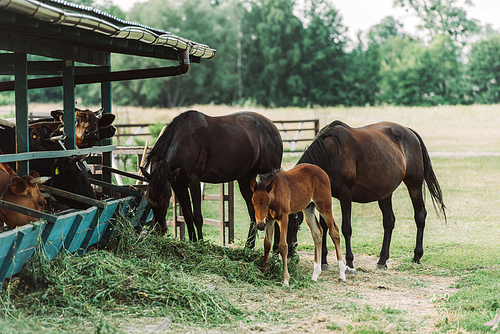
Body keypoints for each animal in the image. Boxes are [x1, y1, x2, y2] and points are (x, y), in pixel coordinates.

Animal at [142, 109, 282, 243]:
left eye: (167, 197)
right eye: (149, 198)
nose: (161, 229)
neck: (184, 142)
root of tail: (273, 127)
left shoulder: (194, 181)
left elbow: (197, 217)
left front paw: (200, 243)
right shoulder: (178, 184)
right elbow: (187, 216)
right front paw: (193, 242)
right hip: (245, 179)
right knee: (253, 212)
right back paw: (248, 246)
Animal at [292, 120, 448, 272]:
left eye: (294, 223)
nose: (292, 249)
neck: (330, 154)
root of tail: (410, 132)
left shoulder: (345, 195)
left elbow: (346, 228)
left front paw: (349, 263)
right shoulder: (324, 196)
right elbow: (324, 226)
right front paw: (323, 261)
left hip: (414, 185)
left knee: (420, 216)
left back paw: (416, 256)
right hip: (385, 192)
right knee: (389, 221)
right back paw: (382, 260)